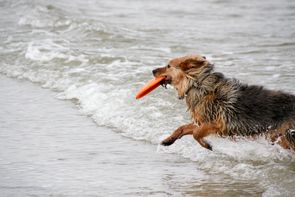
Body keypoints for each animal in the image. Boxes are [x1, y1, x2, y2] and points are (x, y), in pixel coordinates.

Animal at [153, 55, 295, 151]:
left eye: (168, 66)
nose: (152, 71)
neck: (198, 85)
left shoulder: (219, 123)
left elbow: (196, 133)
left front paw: (207, 145)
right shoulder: (205, 122)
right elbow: (184, 128)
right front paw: (168, 139)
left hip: (286, 136)